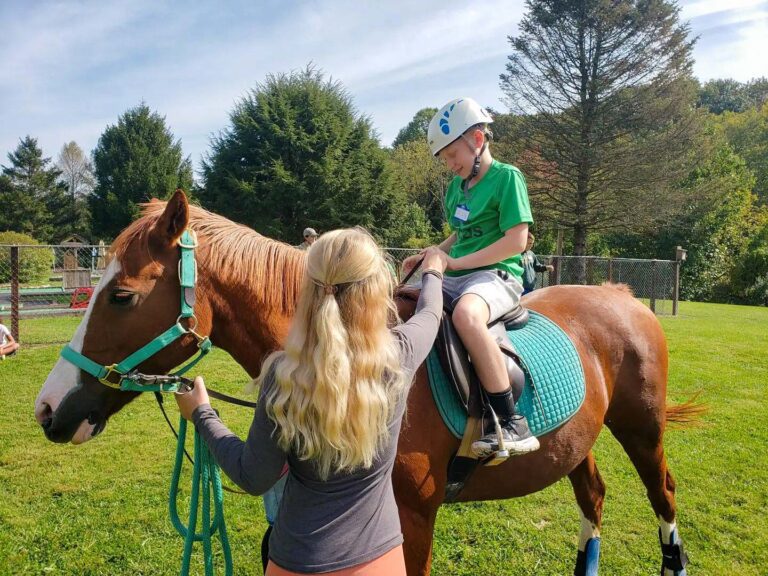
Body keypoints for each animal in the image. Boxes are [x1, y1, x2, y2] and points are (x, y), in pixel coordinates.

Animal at [35, 190, 701, 575]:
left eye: (122, 296)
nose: (47, 408)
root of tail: (621, 294)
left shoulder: (414, 517)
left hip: (641, 430)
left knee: (663, 495)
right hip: (577, 442)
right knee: (594, 498)